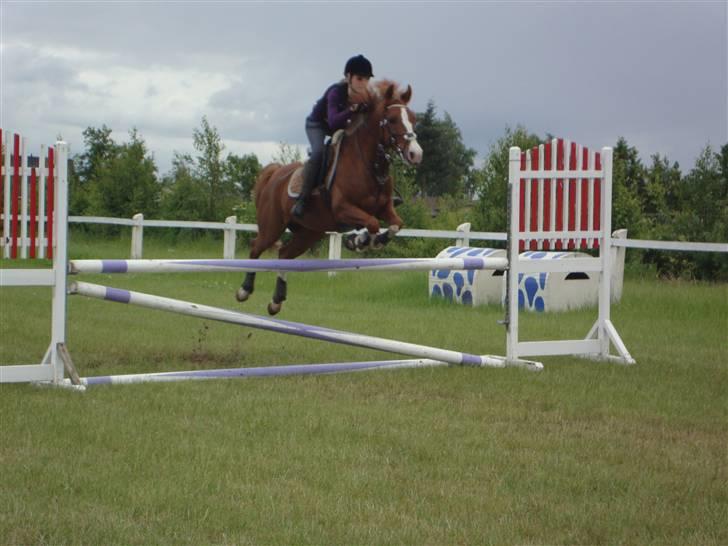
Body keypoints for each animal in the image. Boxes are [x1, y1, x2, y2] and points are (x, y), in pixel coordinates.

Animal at [236, 78, 424, 312]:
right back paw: (244, 290)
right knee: (256, 247)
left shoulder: (385, 208)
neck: (368, 165)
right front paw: (359, 241)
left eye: (414, 119)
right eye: (391, 120)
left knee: (285, 254)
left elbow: (396, 224)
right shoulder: (342, 209)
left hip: (309, 232)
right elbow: (371, 223)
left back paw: (276, 300)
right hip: (272, 225)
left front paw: (370, 240)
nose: (416, 154)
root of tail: (275, 175)